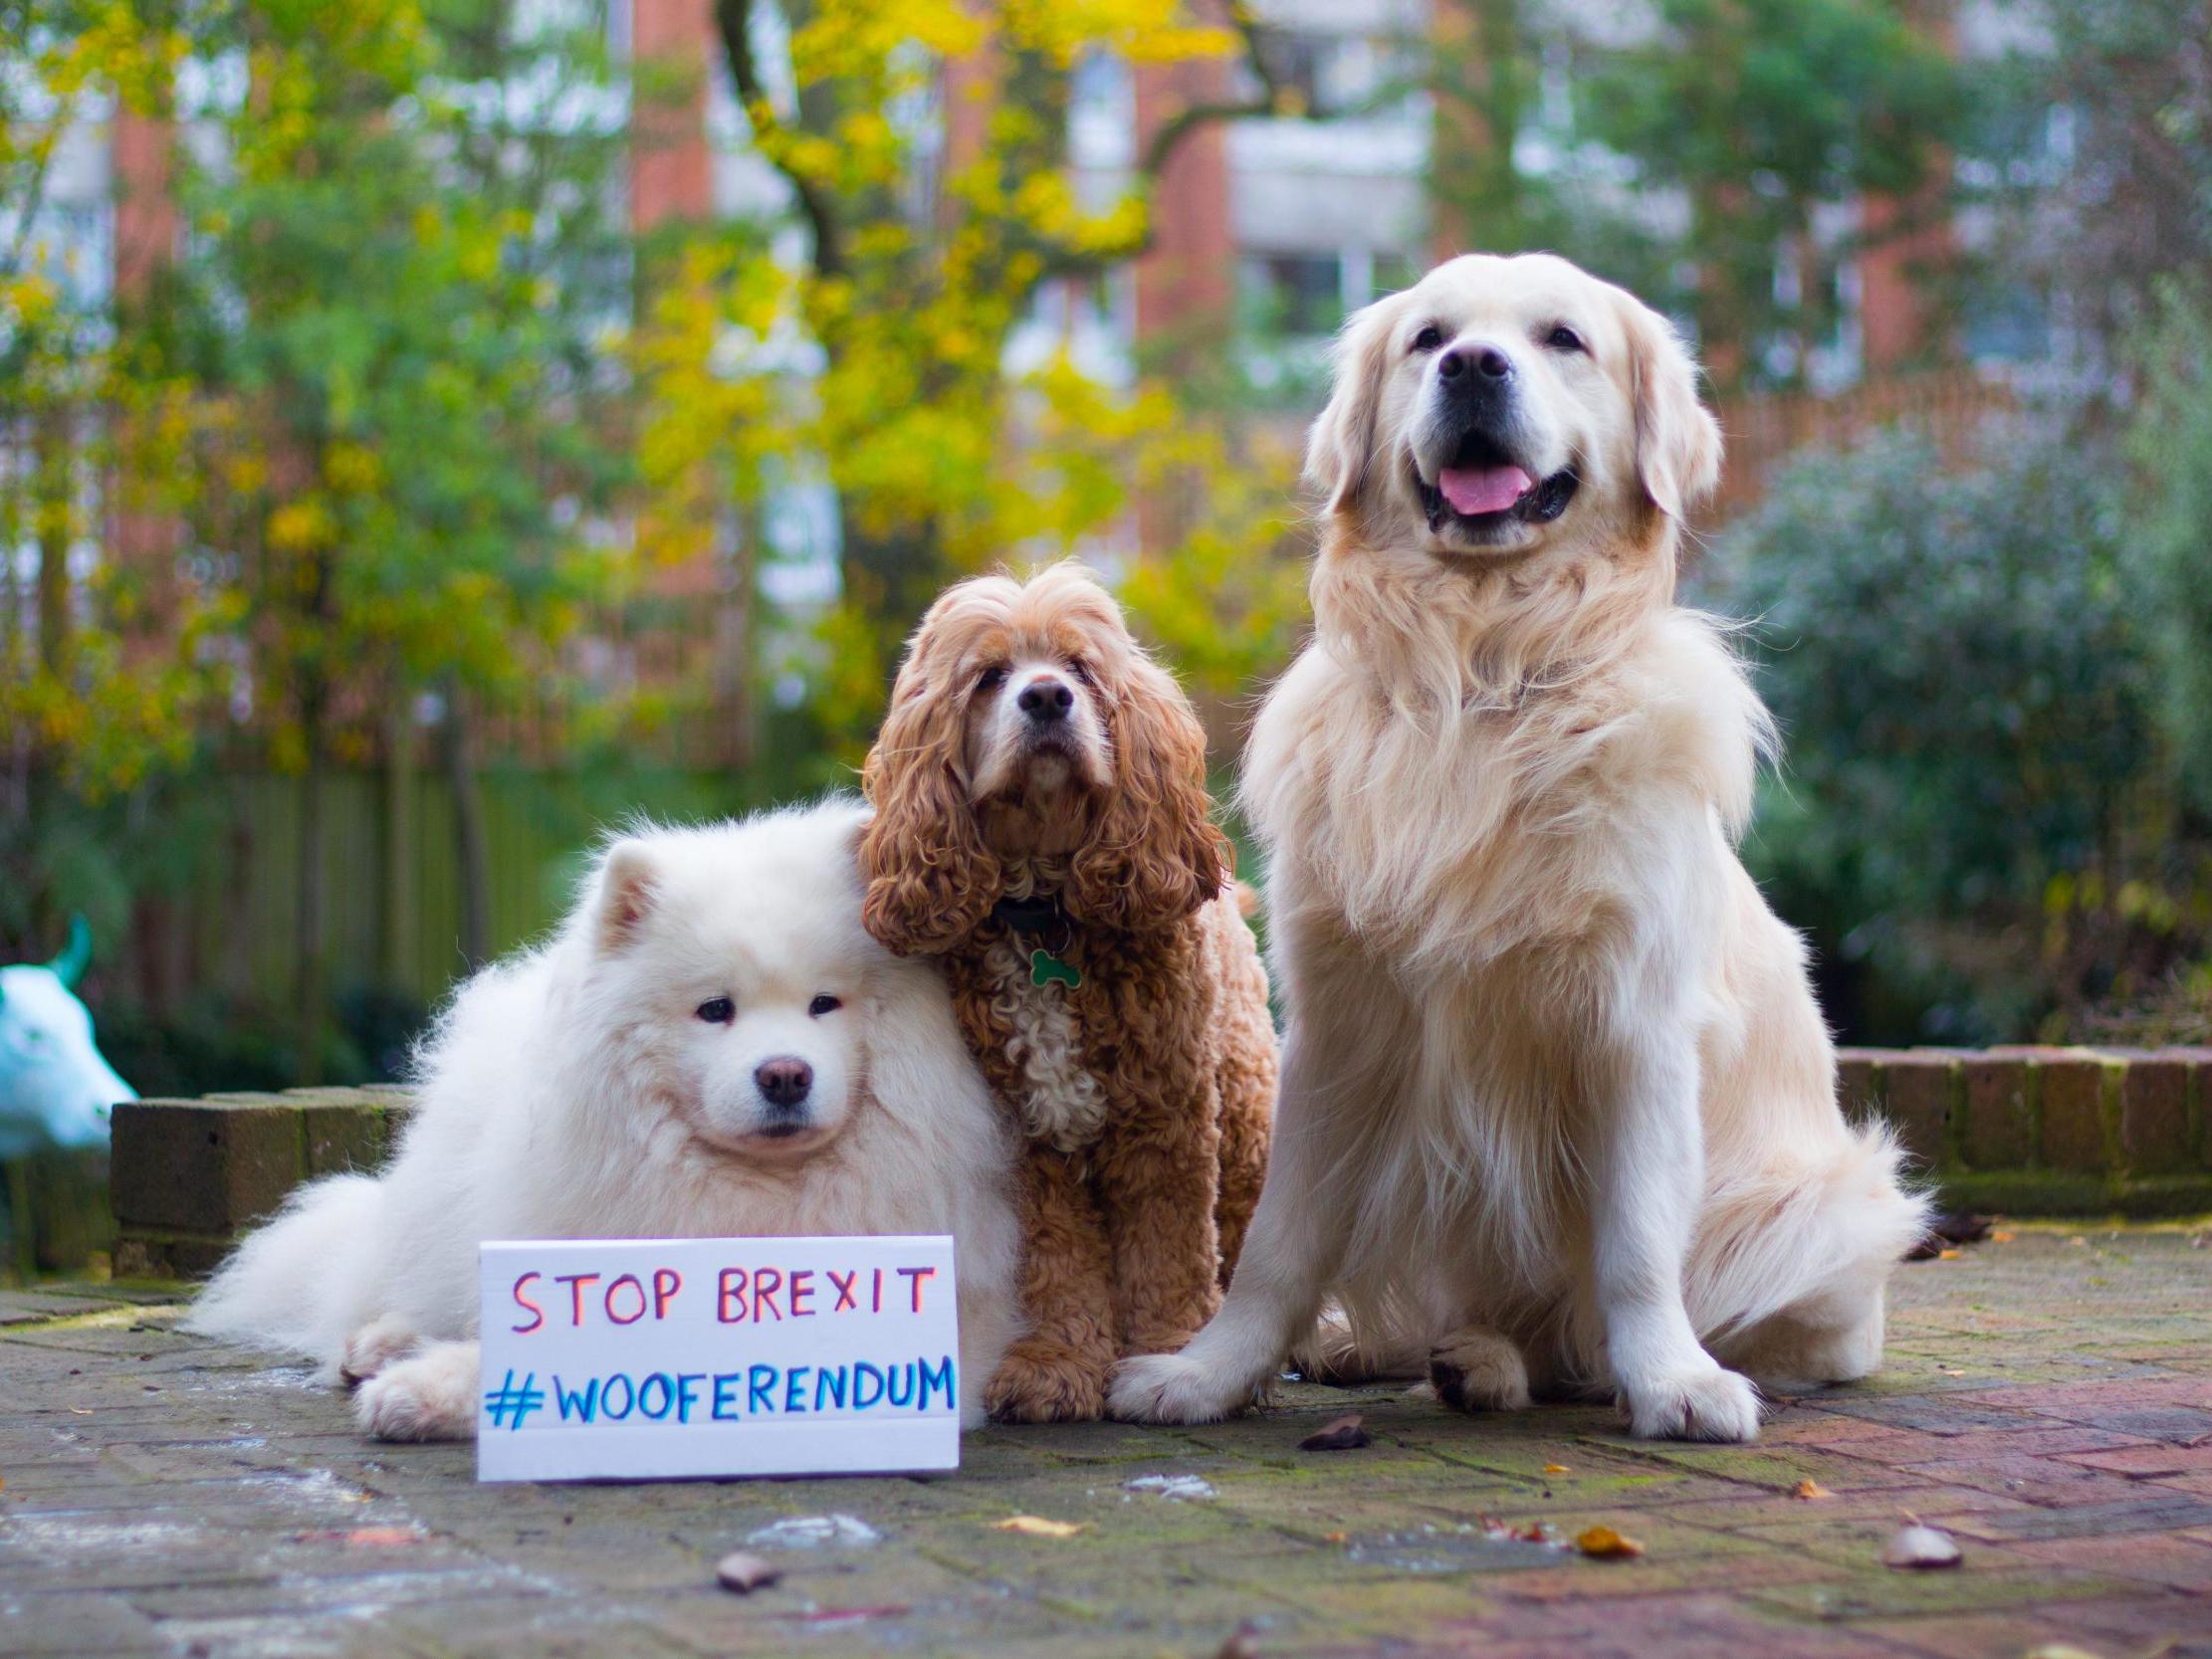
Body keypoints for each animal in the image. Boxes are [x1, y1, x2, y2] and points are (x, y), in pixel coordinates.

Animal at [190, 800, 1017, 1433]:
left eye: (825, 1003)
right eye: (714, 1009)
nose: (785, 1074)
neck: (760, 1197)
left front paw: (430, 1389)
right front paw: (428, 1384)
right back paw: (379, 1343)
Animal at [1114, 256, 1928, 1442]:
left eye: (1561, 338)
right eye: (1426, 337)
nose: (1472, 366)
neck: (1480, 671)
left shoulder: (1634, 1024)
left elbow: (1635, 1243)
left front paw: (1673, 1381)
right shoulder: (1339, 1020)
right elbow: (1278, 1238)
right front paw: (1207, 1373)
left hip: (1825, 1212)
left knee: (1616, 1333)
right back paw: (1425, 1353)